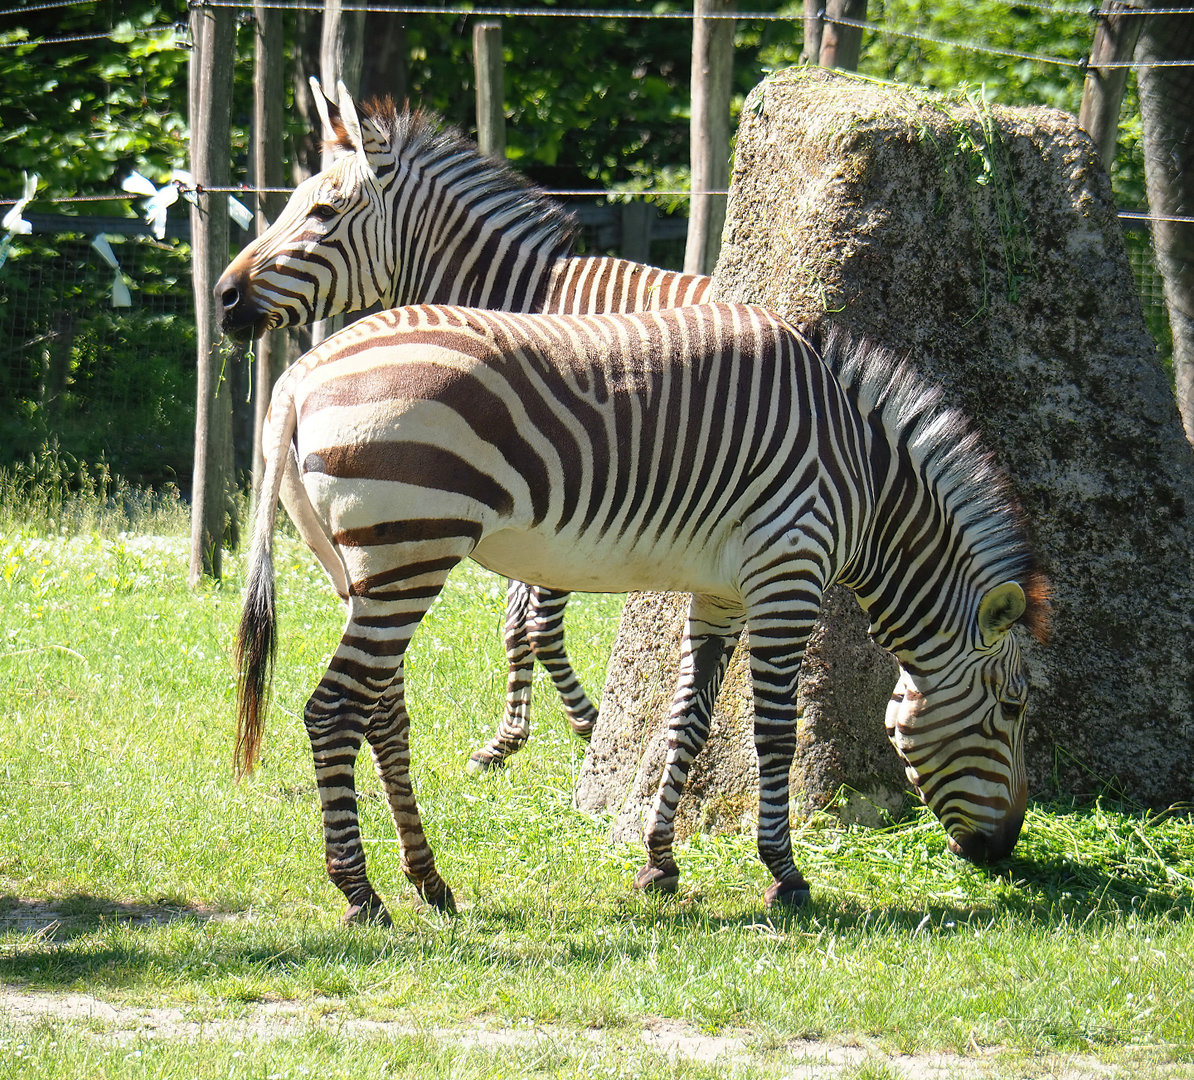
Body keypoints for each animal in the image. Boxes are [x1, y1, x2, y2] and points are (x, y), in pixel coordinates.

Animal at [216, 79, 711, 772]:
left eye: (323, 213)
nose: (223, 298)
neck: (529, 301)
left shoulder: (570, 484)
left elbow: (535, 622)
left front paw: (583, 728)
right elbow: (517, 622)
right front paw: (510, 738)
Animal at [234, 302, 1050, 923]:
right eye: (1012, 709)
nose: (1004, 850)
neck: (867, 482)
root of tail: (303, 371)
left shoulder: (722, 593)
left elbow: (688, 718)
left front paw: (659, 864)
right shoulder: (789, 573)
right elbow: (775, 737)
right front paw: (785, 875)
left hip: (365, 567)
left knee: (381, 713)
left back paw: (429, 880)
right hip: (412, 547)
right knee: (332, 710)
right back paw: (360, 892)